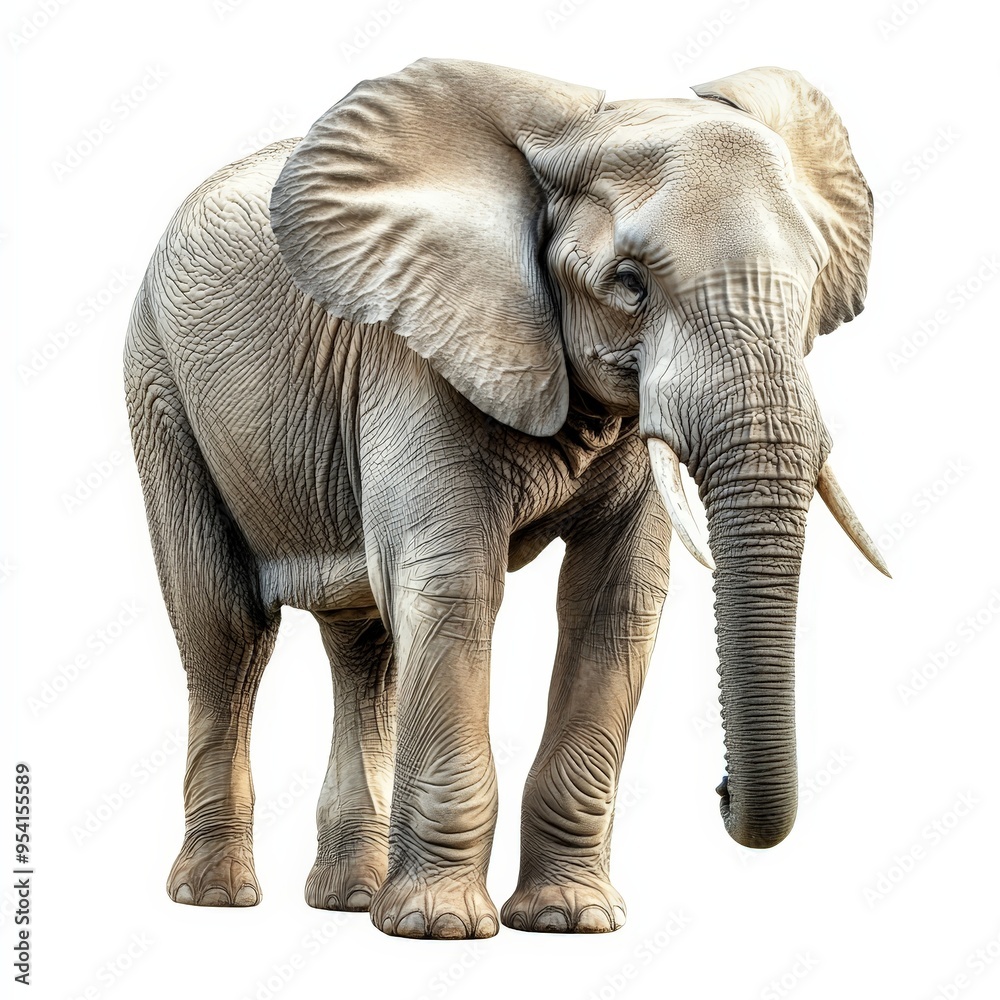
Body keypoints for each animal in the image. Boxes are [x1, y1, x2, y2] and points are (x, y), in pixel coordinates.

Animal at [124, 58, 888, 940]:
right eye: (630, 285)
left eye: (812, 286)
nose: (723, 790)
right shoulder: (414, 352)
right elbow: (454, 587)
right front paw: (436, 928)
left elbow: (616, 600)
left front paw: (569, 920)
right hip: (159, 385)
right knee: (225, 631)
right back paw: (218, 897)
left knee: (364, 643)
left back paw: (351, 899)